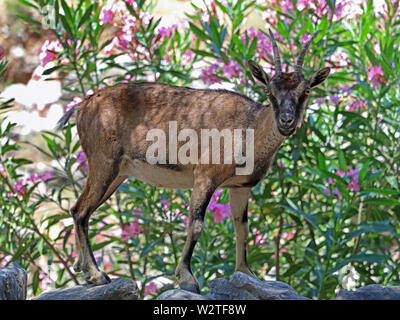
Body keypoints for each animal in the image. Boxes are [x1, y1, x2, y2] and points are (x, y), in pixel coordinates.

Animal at [57, 30, 330, 292]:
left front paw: (247, 273)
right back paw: (97, 274)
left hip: (117, 173)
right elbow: (197, 224)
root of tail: (82, 106)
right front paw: (188, 278)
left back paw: (83, 268)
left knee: (79, 210)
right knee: (81, 210)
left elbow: (241, 226)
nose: (286, 121)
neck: (250, 128)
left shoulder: (240, 186)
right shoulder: (205, 177)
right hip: (103, 162)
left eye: (306, 91)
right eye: (269, 91)